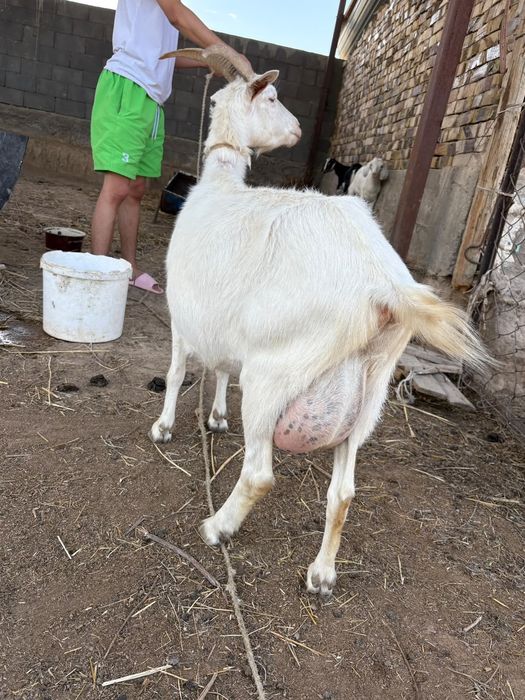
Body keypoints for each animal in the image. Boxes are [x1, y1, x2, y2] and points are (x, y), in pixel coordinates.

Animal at [151, 45, 487, 597]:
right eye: (272, 98)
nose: (294, 130)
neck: (220, 185)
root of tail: (384, 285)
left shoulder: (183, 312)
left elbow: (180, 371)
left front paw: (162, 427)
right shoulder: (222, 324)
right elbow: (219, 369)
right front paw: (216, 416)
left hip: (273, 375)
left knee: (259, 474)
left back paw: (216, 527)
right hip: (368, 394)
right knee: (345, 490)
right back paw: (323, 573)